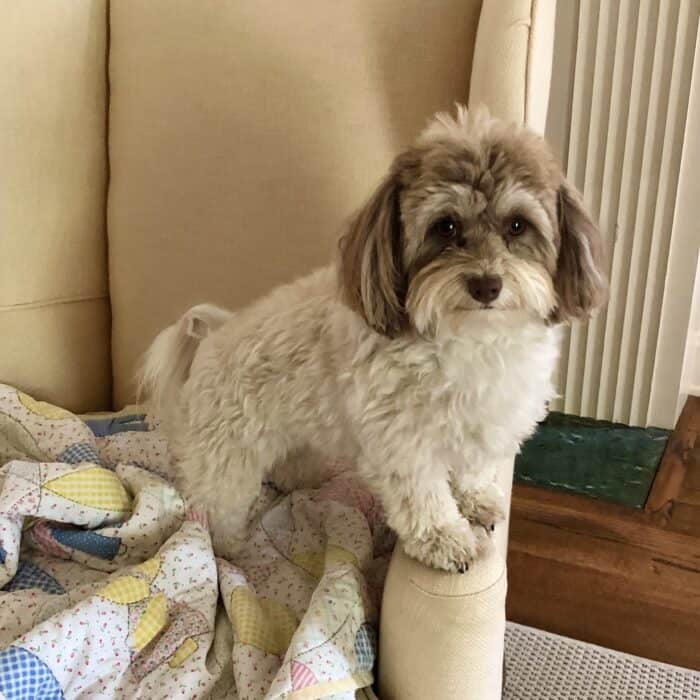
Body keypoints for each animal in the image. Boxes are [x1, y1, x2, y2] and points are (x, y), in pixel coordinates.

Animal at [141, 106, 608, 572]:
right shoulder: (404, 442)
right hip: (226, 462)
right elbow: (425, 499)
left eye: (517, 225)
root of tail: (211, 338)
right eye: (446, 226)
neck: (472, 339)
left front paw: (475, 501)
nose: (486, 284)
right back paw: (227, 554)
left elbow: (472, 469)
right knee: (213, 511)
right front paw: (445, 539)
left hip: (294, 436)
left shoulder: (480, 423)